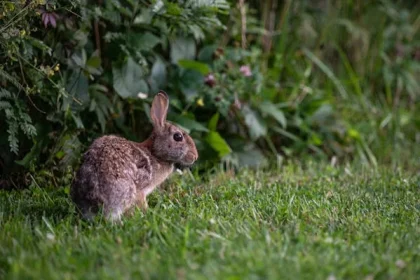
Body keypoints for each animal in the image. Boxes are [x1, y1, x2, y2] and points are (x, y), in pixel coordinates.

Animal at [70, 91, 199, 222]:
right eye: (178, 137)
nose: (195, 156)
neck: (155, 153)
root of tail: (93, 201)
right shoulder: (141, 191)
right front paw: (147, 214)